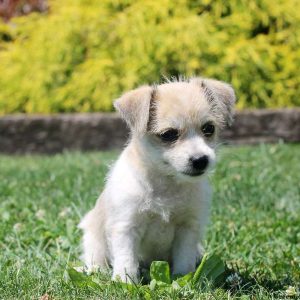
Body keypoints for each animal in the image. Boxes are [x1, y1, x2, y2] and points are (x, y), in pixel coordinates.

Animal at [78, 77, 236, 282]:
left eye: (208, 128)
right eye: (169, 134)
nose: (201, 160)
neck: (167, 183)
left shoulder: (188, 228)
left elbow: (184, 259)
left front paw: (183, 278)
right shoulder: (126, 228)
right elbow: (126, 261)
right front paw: (125, 282)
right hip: (93, 239)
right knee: (96, 259)